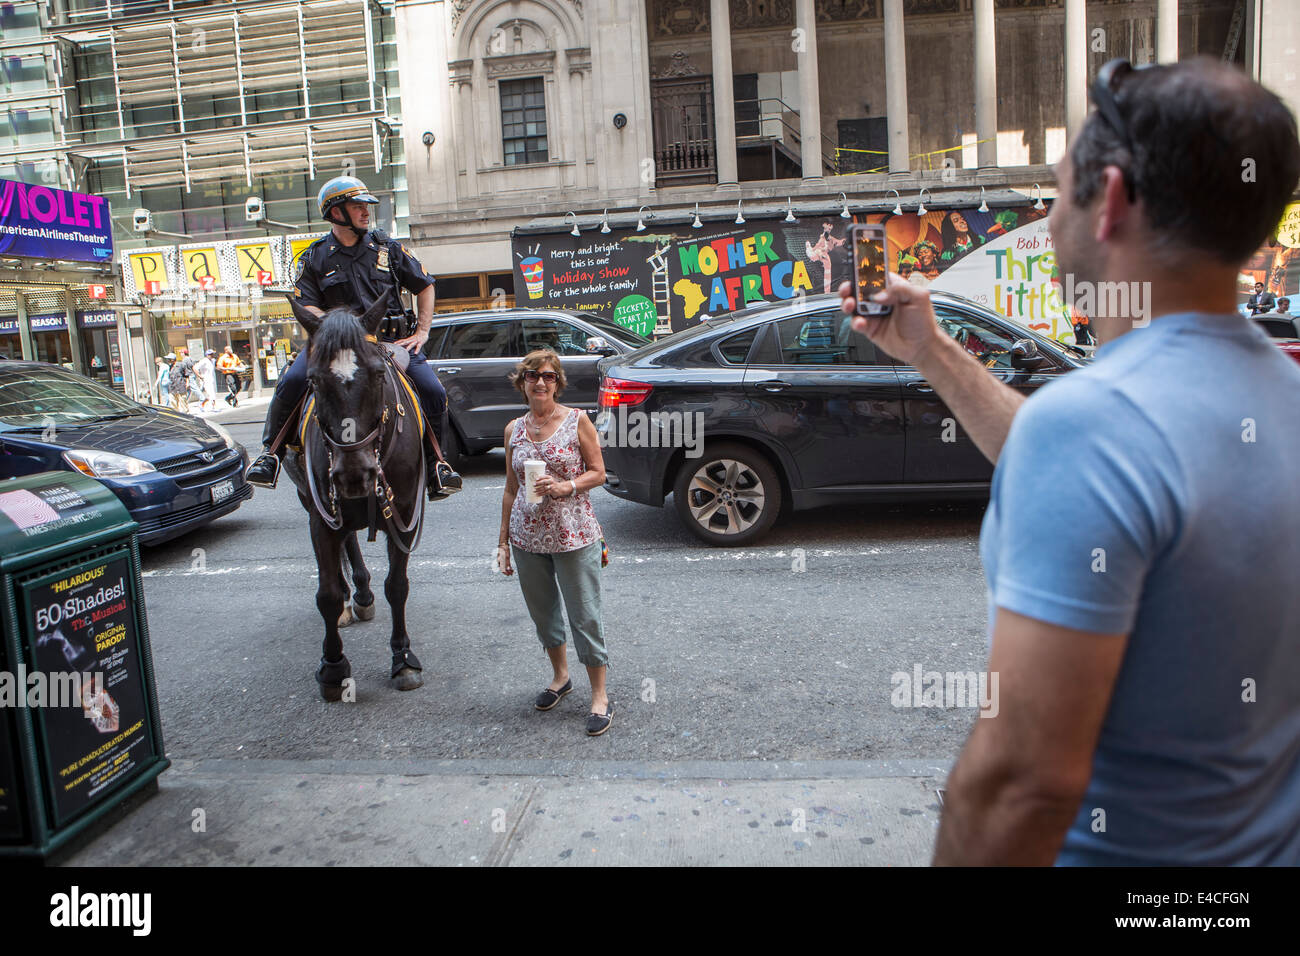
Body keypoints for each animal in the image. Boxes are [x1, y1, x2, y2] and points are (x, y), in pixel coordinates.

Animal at [284, 295, 426, 697]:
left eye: (378, 375)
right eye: (314, 380)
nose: (353, 474)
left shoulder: (405, 513)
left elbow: (397, 586)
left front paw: (402, 659)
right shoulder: (321, 516)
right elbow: (327, 593)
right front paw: (333, 667)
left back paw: (362, 594)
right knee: (344, 546)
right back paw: (353, 600)